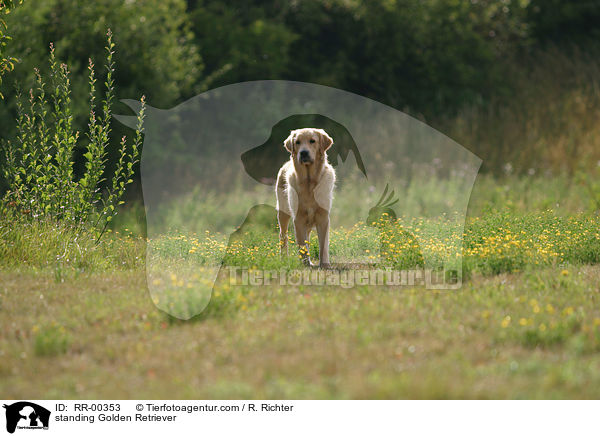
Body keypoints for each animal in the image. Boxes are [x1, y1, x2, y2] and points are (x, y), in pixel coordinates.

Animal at [278, 127, 338, 268]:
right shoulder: (298, 218)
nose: (303, 153)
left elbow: (323, 244)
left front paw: (325, 264)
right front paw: (305, 263)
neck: (309, 182)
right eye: (297, 142)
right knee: (283, 236)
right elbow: (301, 244)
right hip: (283, 213)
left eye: (312, 141)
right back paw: (284, 259)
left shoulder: (323, 217)